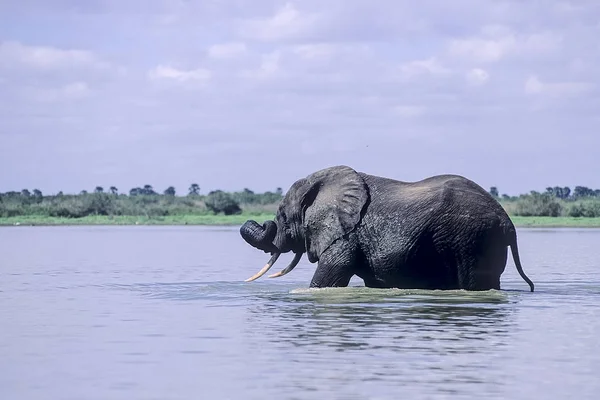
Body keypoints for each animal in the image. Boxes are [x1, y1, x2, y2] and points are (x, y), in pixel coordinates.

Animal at [239, 164, 536, 292]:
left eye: (282, 216)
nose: (264, 223)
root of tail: (507, 222)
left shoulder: (347, 237)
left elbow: (329, 278)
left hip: (471, 240)